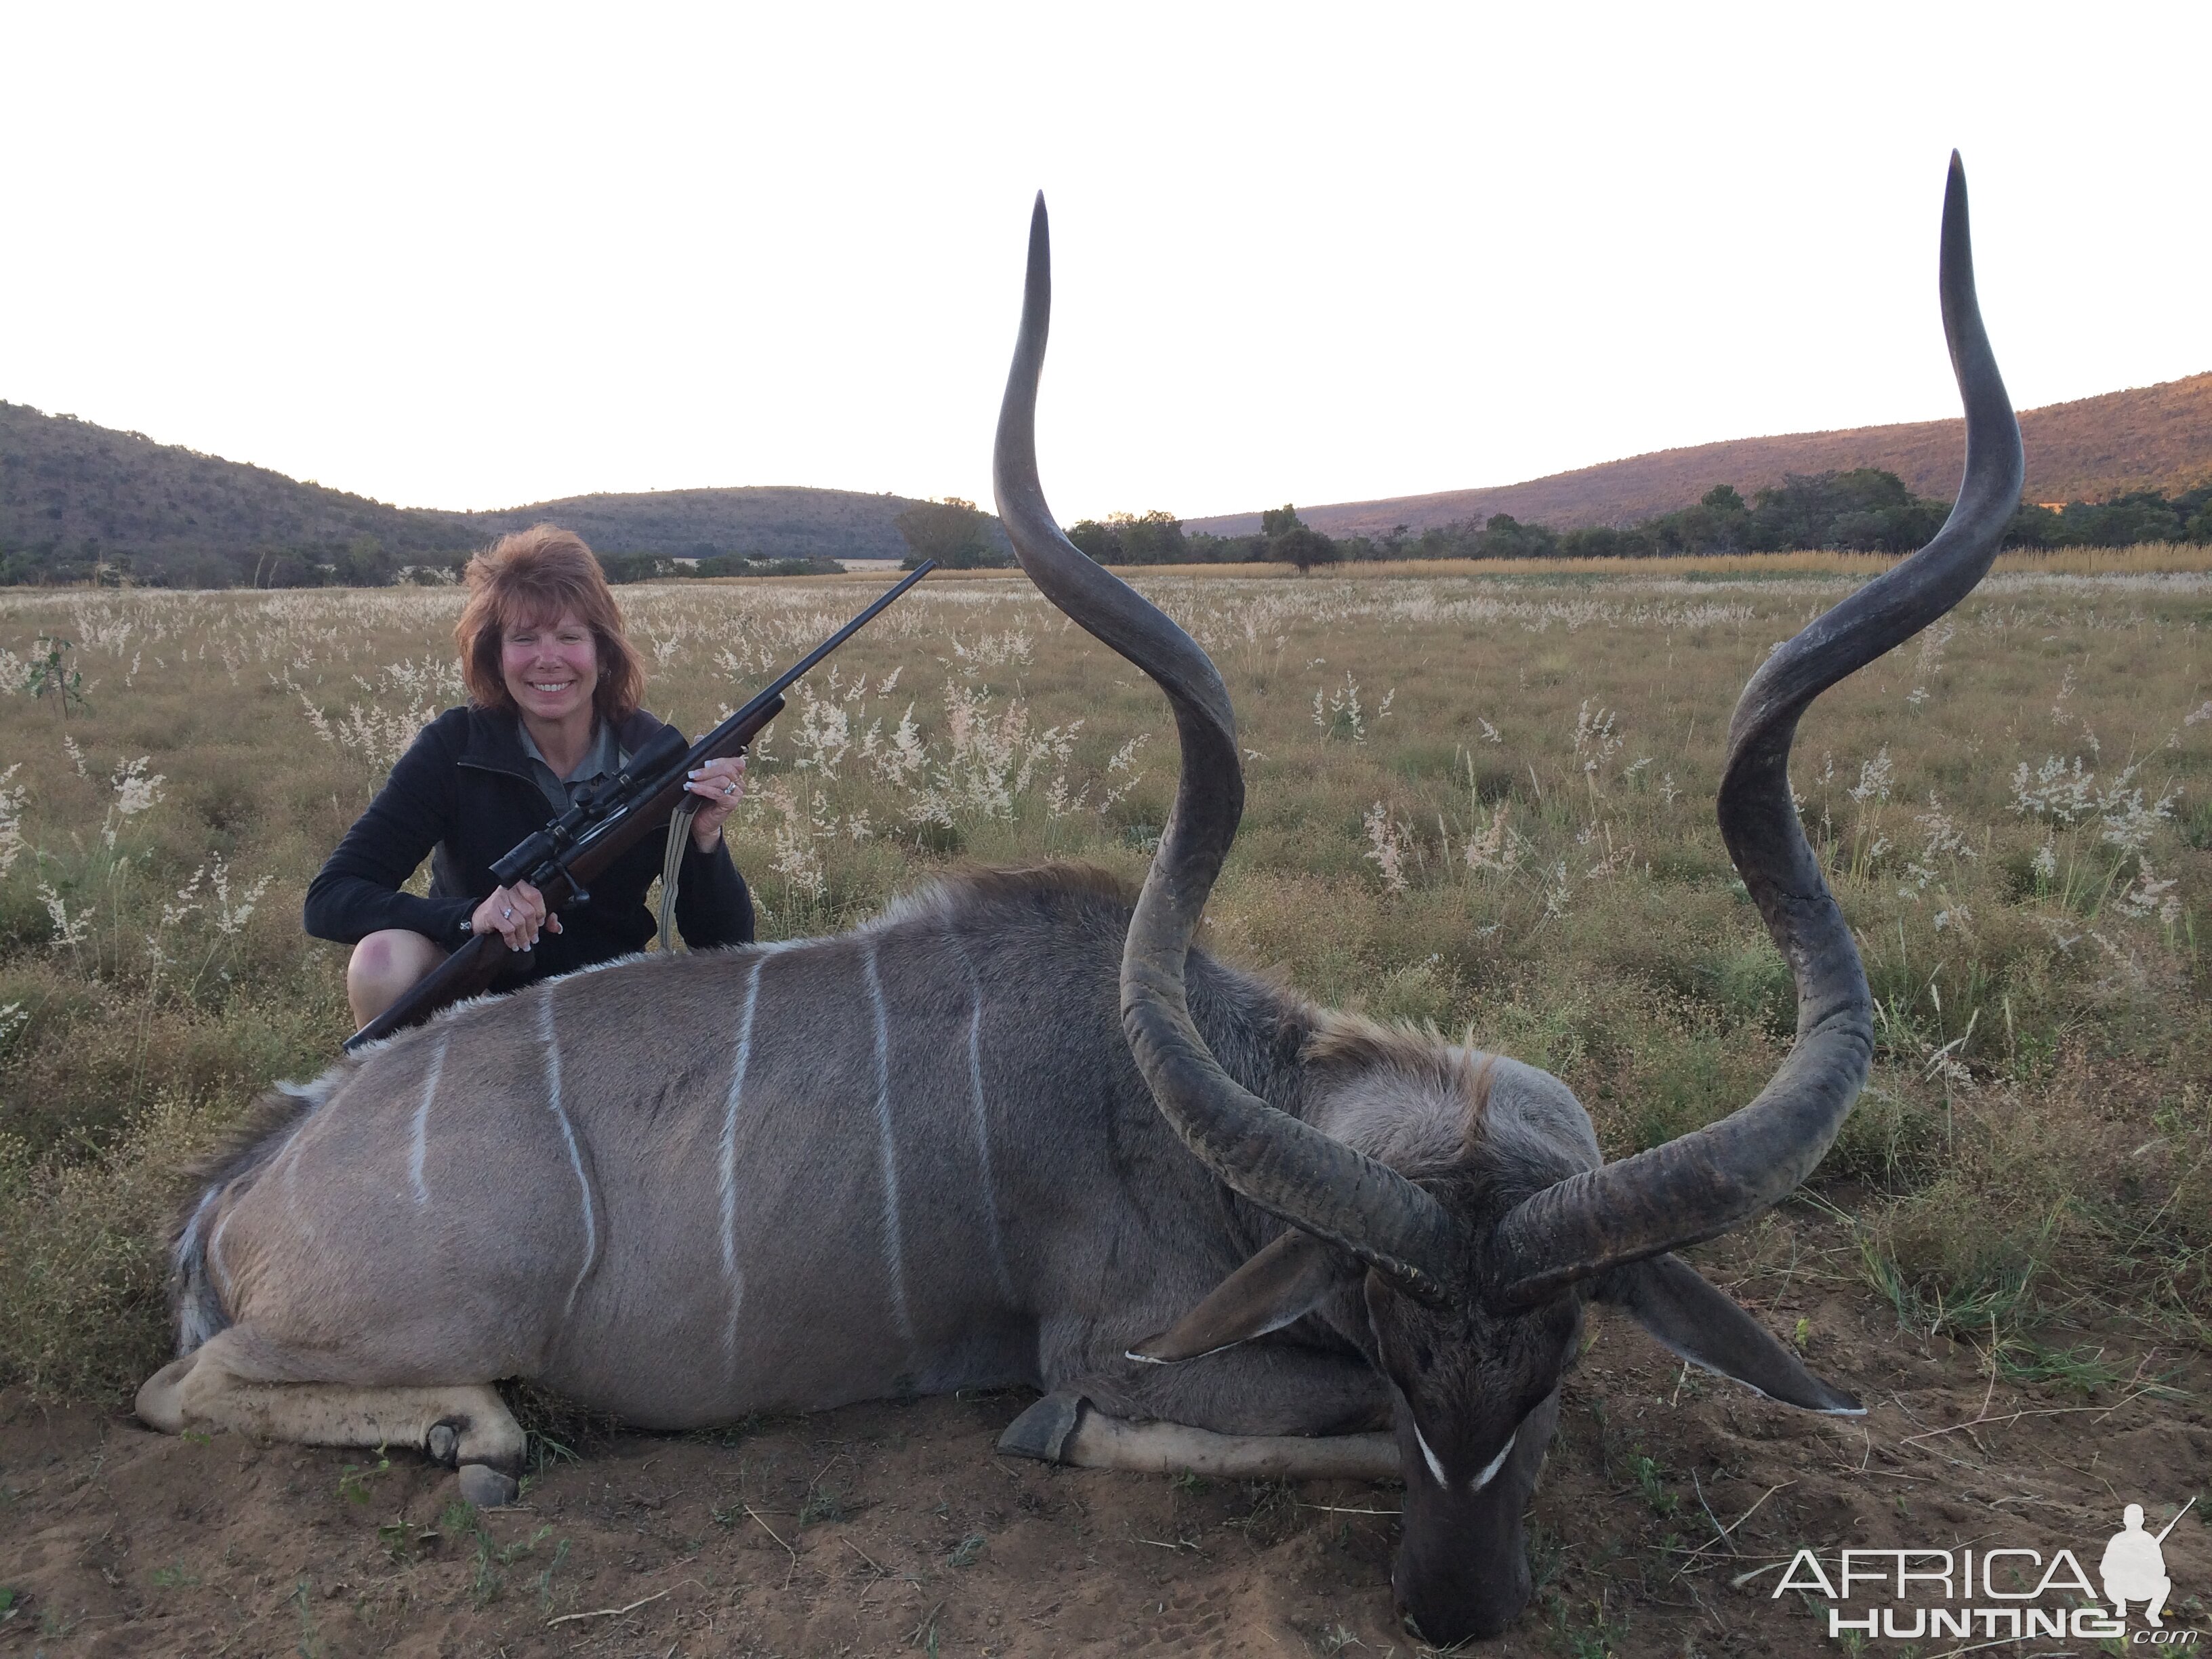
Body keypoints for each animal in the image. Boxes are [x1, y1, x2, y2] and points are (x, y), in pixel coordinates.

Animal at [142, 162, 2026, 1645]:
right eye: (1405, 1347)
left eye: (1556, 1358)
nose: (1456, 1609)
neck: (1209, 1102)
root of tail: (245, 1183)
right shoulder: (1127, 1347)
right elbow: (1186, 1414)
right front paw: (1072, 1441)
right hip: (447, 1313)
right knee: (199, 1387)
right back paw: (472, 1434)